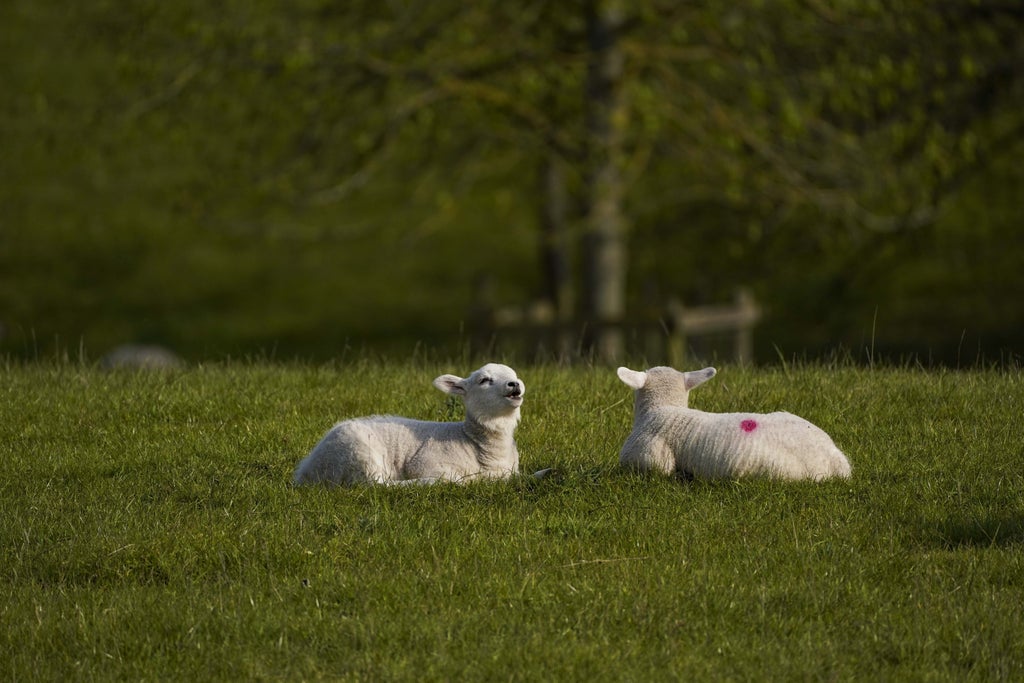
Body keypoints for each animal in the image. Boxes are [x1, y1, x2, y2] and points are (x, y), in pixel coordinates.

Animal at [293, 363, 532, 486]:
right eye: (484, 380)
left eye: (515, 374)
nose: (514, 384)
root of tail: (307, 469)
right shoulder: (426, 463)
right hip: (357, 453)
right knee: (376, 485)